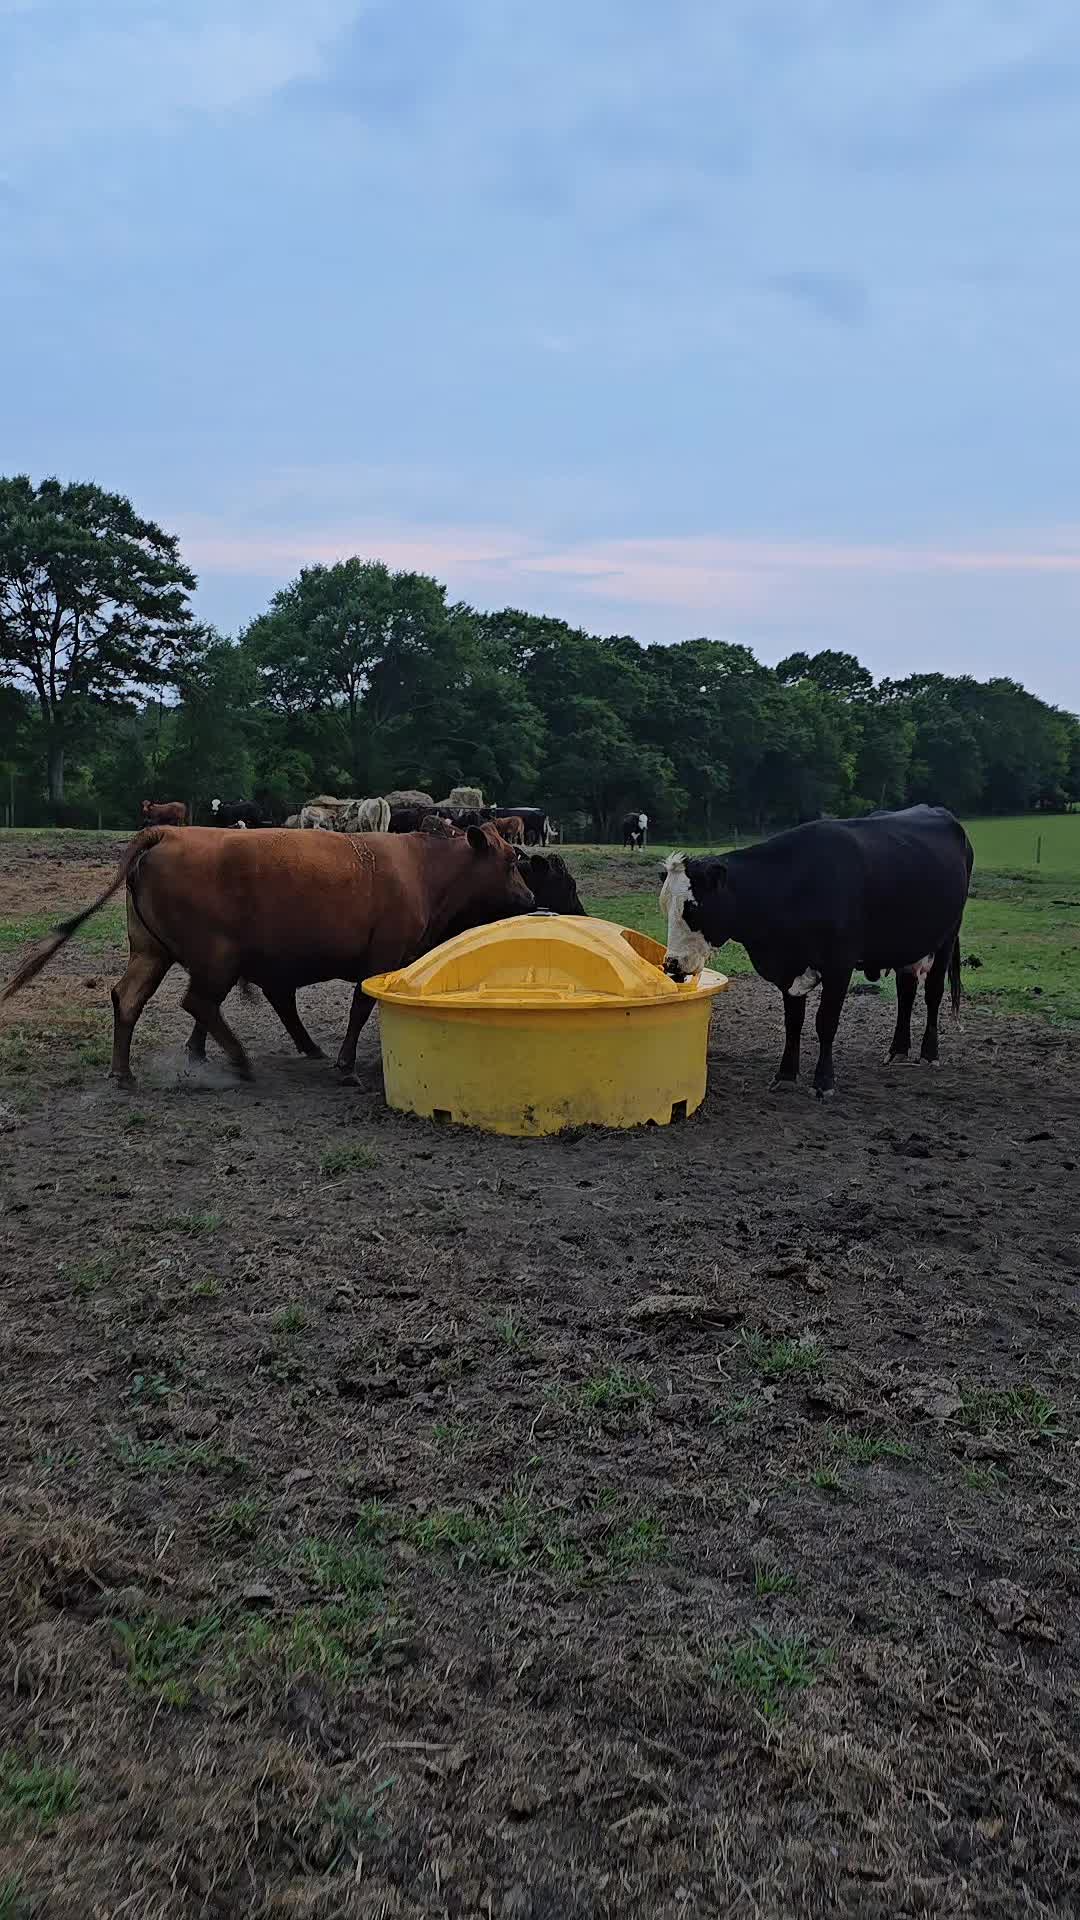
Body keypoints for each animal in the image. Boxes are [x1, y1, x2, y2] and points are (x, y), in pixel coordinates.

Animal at [3, 824, 534, 1087]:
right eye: (511, 861)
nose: (530, 897)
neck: (422, 868)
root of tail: (169, 831)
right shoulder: (381, 957)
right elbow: (360, 1008)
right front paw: (344, 1064)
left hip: (153, 952)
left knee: (131, 998)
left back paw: (125, 1072)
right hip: (216, 957)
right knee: (197, 1002)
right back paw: (239, 1062)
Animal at [660, 805, 974, 1099]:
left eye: (693, 908)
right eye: (666, 907)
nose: (672, 963)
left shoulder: (839, 966)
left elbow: (826, 1022)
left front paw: (824, 1082)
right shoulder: (789, 967)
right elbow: (793, 1023)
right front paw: (786, 1075)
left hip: (946, 937)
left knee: (933, 994)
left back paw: (929, 1053)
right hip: (905, 945)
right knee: (906, 992)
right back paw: (897, 1050)